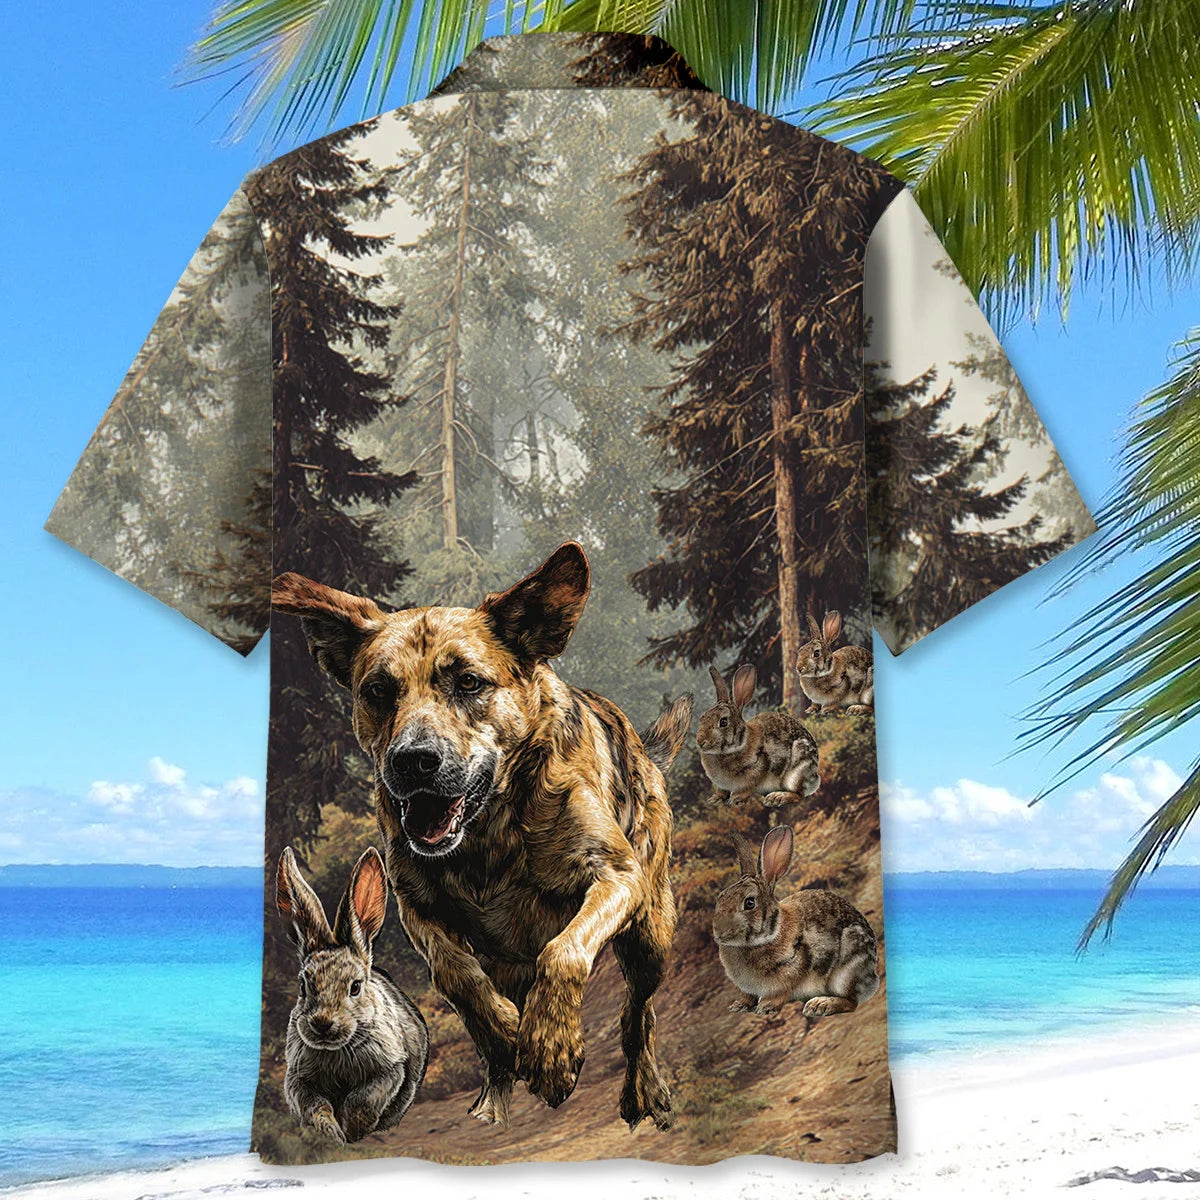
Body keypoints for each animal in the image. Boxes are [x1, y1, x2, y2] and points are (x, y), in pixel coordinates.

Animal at [275, 845, 429, 1144]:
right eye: (303, 986)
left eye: (355, 986)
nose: (322, 1023)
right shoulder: (297, 1080)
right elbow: (316, 1107)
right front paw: (334, 1134)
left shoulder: (391, 1070)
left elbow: (361, 1101)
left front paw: (352, 1132)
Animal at [696, 664, 820, 806]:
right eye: (702, 718)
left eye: (723, 722)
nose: (700, 742)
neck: (739, 743)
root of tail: (815, 777)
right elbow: (722, 790)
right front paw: (715, 799)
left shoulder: (757, 769)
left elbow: (749, 787)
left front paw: (736, 799)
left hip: (796, 773)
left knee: (799, 795)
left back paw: (777, 797)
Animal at [713, 824, 878, 1026]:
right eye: (720, 897)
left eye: (749, 903)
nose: (719, 933)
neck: (771, 932)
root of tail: (873, 978)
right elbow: (748, 996)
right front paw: (739, 1005)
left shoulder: (791, 969)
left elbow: (781, 992)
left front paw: (765, 1007)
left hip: (846, 972)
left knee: (852, 1002)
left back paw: (820, 1005)